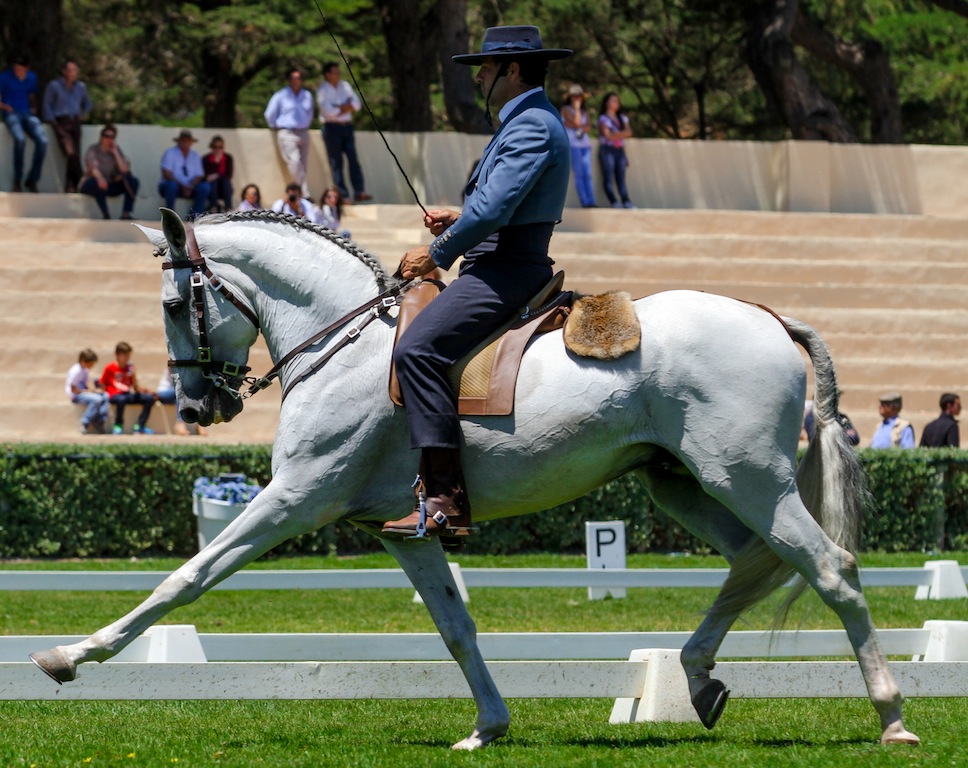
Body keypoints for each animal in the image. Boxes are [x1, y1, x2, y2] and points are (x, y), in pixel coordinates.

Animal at [32, 210, 924, 752]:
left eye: (173, 302)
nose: (194, 406)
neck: (346, 342)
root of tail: (769, 317)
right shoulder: (401, 530)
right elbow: (455, 628)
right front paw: (488, 726)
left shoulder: (294, 498)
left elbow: (185, 578)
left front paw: (74, 655)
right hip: (685, 483)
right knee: (753, 564)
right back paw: (698, 678)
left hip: (748, 478)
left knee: (831, 570)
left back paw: (890, 717)